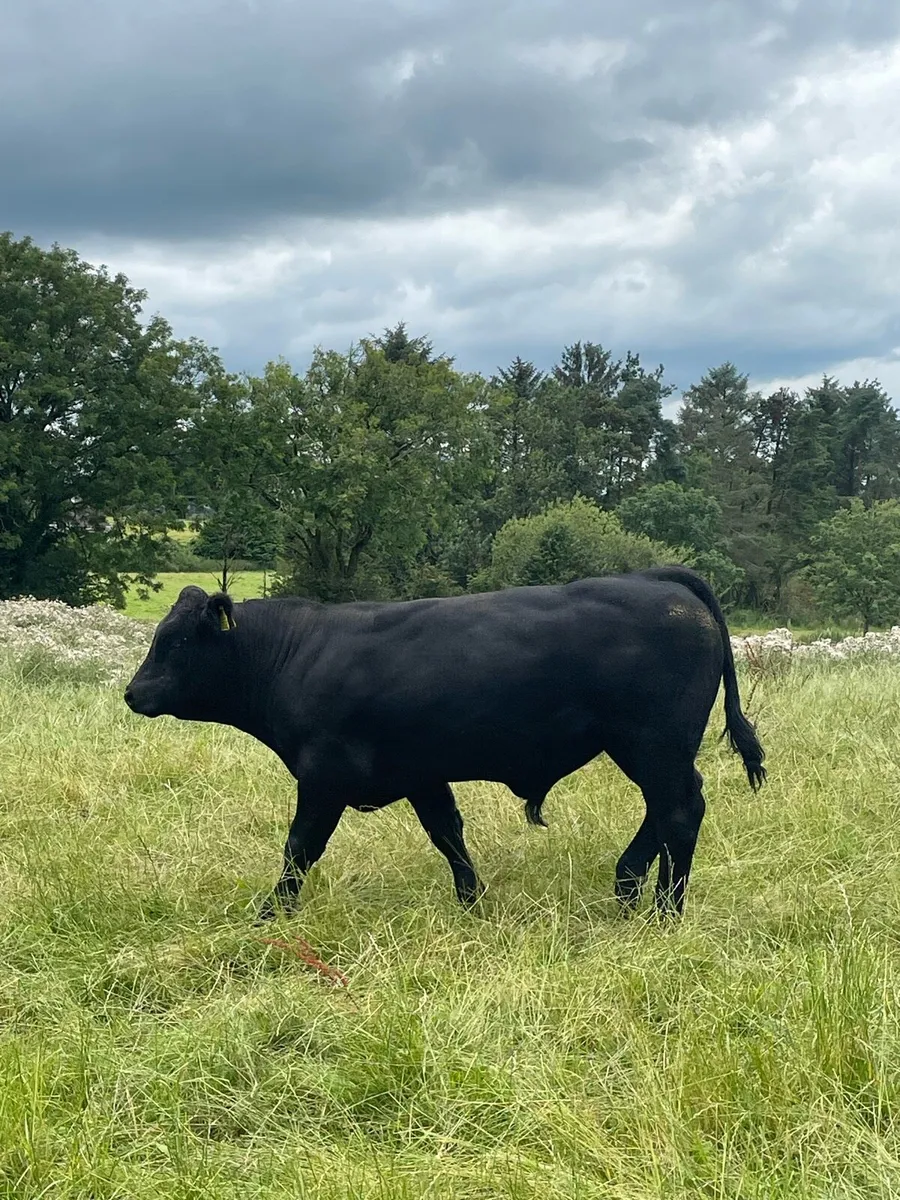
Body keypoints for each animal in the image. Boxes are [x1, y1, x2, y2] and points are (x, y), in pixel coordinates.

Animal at [123, 565, 765, 919]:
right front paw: (472, 902)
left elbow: (299, 848)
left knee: (679, 810)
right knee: (664, 810)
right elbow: (448, 835)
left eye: (177, 641)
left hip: (654, 744)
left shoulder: (323, 777)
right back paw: (629, 886)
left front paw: (269, 916)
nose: (133, 692)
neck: (297, 653)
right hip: (650, 750)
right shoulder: (422, 774)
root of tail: (655, 579)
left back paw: (664, 908)